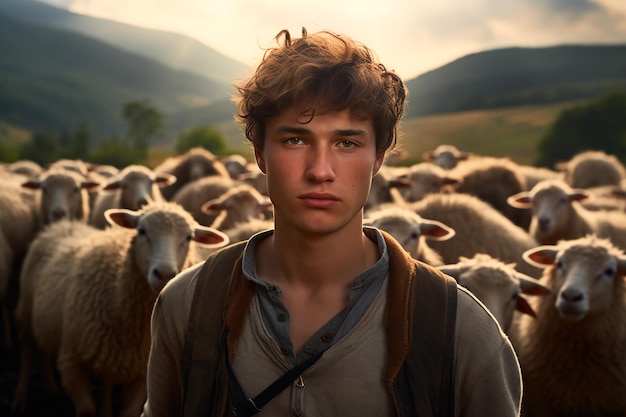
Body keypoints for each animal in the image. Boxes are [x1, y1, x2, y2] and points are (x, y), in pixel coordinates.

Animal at [12, 200, 227, 414]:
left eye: (189, 237)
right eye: (141, 230)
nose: (164, 274)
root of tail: (62, 225)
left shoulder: (141, 371)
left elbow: (129, 410)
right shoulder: (72, 362)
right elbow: (87, 409)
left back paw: (50, 386)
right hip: (25, 309)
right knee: (28, 346)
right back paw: (21, 397)